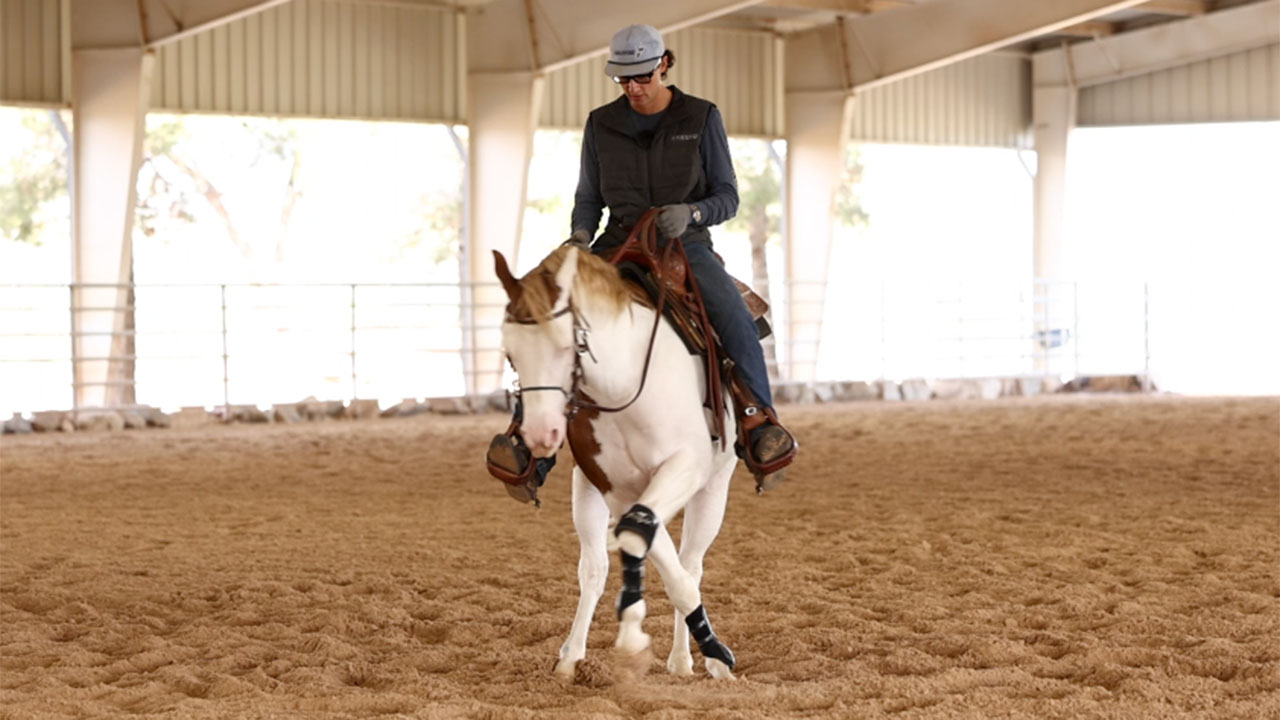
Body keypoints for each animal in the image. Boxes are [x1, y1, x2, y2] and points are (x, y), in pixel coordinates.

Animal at [493, 240, 741, 680]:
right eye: (511, 353)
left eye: (568, 344)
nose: (540, 434)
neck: (623, 385)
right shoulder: (615, 488)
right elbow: (637, 542)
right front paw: (627, 638)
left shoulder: (686, 466)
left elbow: (673, 570)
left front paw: (714, 651)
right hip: (587, 491)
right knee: (596, 569)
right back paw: (572, 657)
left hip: (714, 487)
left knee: (691, 564)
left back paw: (685, 659)